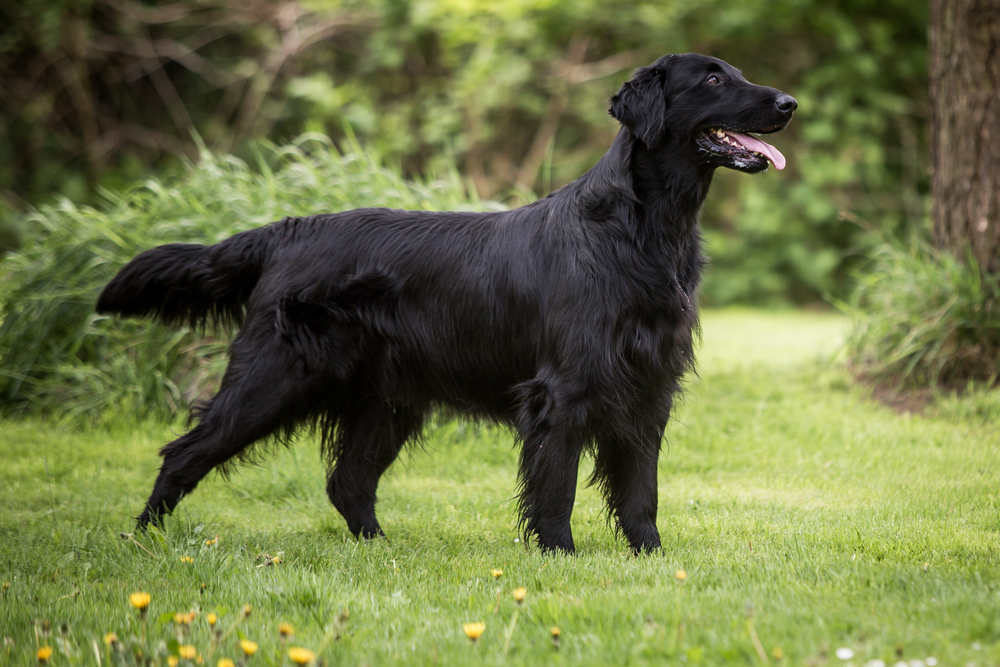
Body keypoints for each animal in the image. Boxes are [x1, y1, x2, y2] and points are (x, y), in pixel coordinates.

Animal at [97, 51, 792, 552]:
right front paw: (559, 555)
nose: (788, 103)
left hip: (385, 400)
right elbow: (557, 488)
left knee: (348, 482)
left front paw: (651, 557)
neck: (643, 228)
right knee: (185, 453)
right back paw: (145, 539)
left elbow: (640, 489)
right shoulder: (564, 392)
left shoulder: (650, 385)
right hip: (273, 375)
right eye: (712, 77)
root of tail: (289, 229)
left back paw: (381, 549)